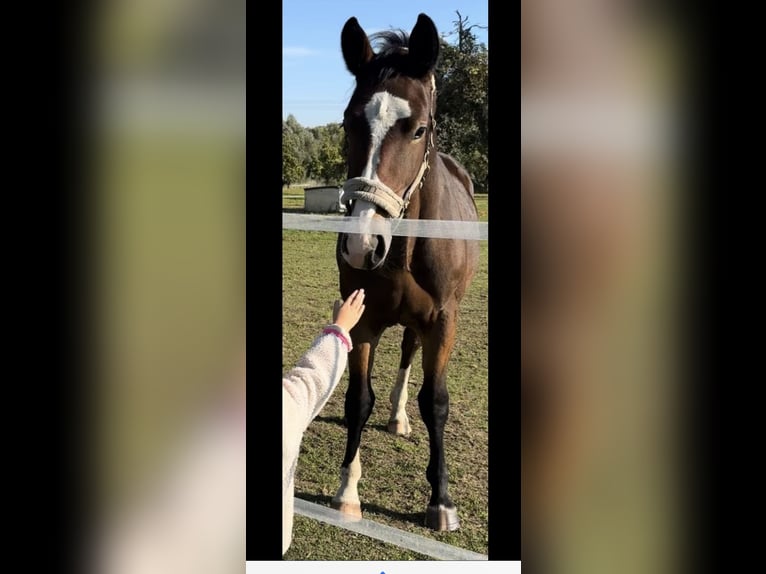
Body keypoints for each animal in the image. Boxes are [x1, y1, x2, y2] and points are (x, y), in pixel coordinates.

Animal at [330, 13, 480, 532]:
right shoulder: (363, 320)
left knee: (410, 353)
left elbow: (436, 403)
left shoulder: (444, 321)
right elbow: (358, 400)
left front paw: (442, 502)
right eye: (349, 122)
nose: (362, 243)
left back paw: (399, 418)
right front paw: (347, 493)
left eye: (417, 130)